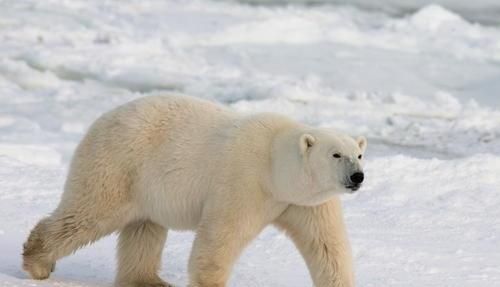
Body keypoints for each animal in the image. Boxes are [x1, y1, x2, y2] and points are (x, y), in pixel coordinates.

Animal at [22, 95, 368, 287]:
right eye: (336, 154)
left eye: (359, 154)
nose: (358, 176)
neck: (274, 164)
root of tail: (101, 119)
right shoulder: (243, 182)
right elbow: (221, 237)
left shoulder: (305, 202)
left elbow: (327, 246)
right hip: (118, 165)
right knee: (88, 214)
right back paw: (38, 263)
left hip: (143, 185)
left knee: (144, 228)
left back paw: (148, 281)